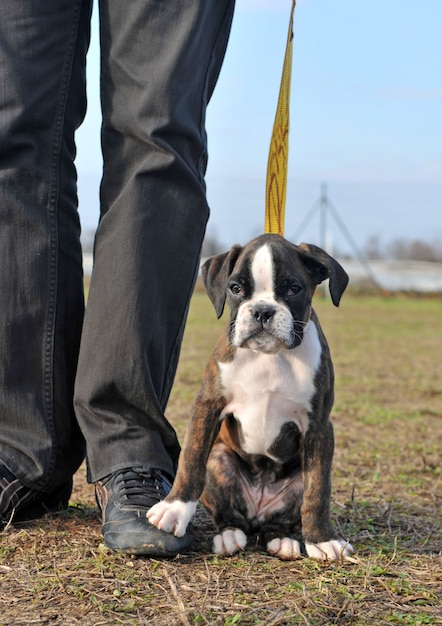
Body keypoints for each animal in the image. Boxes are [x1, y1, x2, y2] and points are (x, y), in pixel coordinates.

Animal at [148, 234, 352, 560]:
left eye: (293, 288)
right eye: (236, 288)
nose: (262, 311)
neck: (269, 357)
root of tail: (257, 512)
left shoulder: (319, 425)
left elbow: (318, 489)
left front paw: (322, 540)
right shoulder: (208, 404)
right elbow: (191, 460)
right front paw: (174, 510)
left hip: (294, 481)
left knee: (281, 519)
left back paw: (282, 540)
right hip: (219, 460)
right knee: (229, 515)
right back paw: (229, 536)